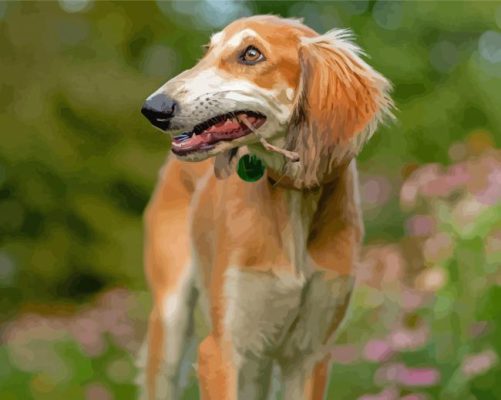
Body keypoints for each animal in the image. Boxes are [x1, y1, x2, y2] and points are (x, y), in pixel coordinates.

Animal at [139, 14, 392, 398]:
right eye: (207, 51)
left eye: (251, 54)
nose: (153, 108)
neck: (292, 198)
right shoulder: (223, 350)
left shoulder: (310, 354)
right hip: (171, 320)